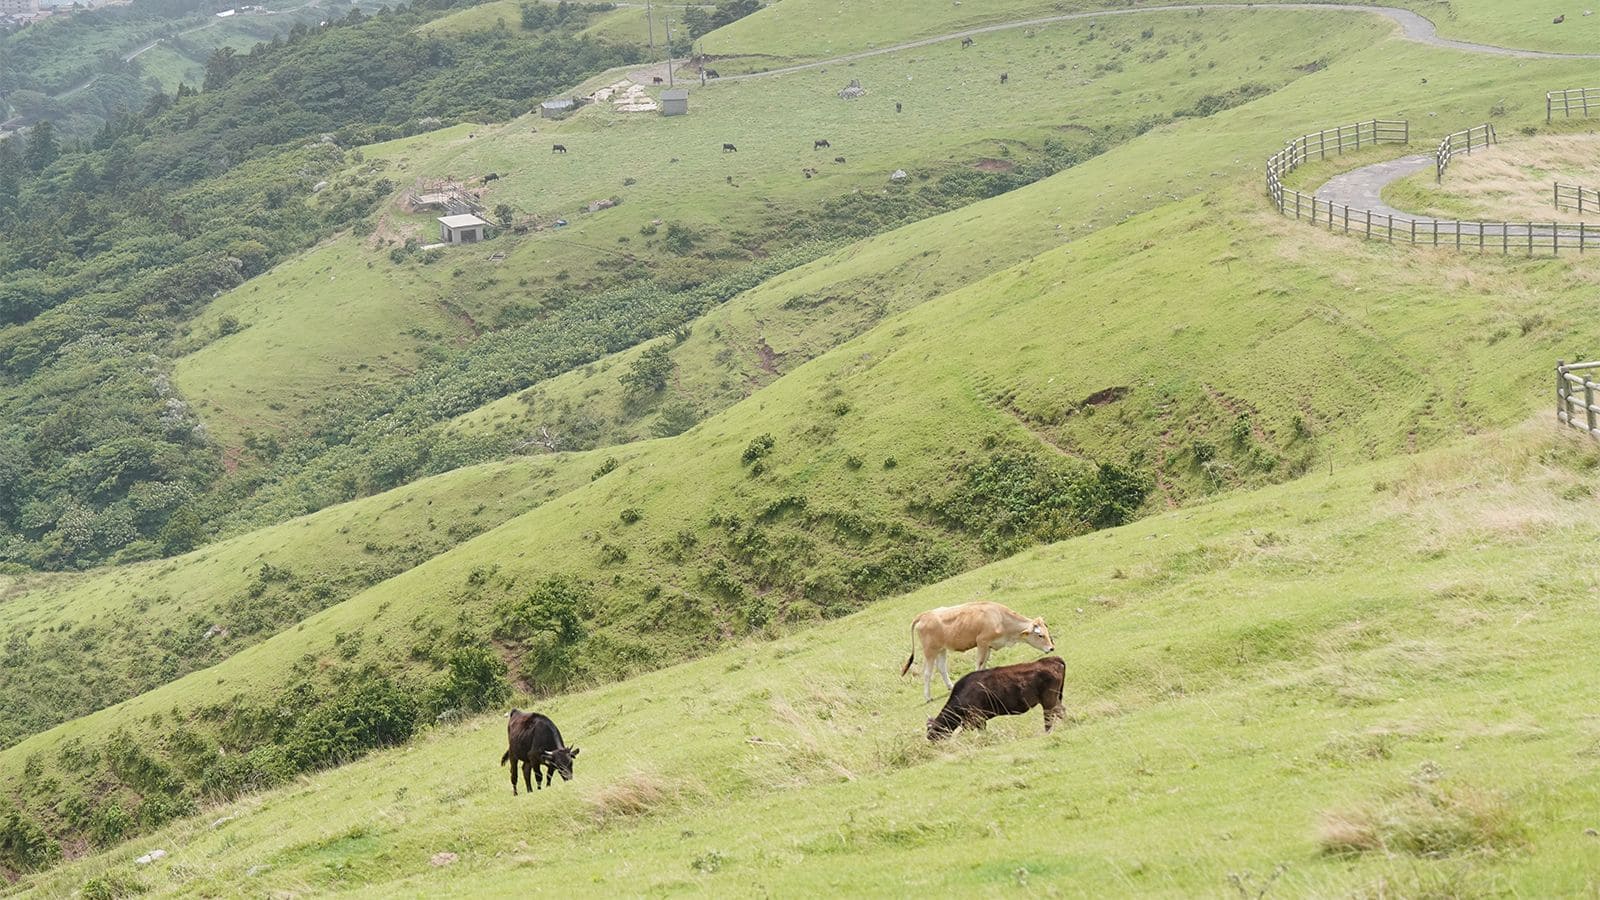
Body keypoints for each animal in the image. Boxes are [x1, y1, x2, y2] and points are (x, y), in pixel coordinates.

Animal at [896, 602, 1056, 701]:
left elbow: (984, 664)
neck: (1000, 618)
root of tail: (924, 615)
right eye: (1040, 635)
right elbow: (979, 664)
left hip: (941, 650)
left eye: (1047, 632)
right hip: (930, 651)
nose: (1051, 648)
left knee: (941, 668)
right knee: (927, 673)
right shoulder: (982, 643)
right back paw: (928, 697)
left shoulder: (988, 647)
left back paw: (950, 686)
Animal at [928, 650, 1062, 736]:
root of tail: (1053, 659)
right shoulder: (978, 721)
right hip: (1056, 698)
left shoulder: (975, 719)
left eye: (933, 735)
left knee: (1050, 717)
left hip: (1048, 701)